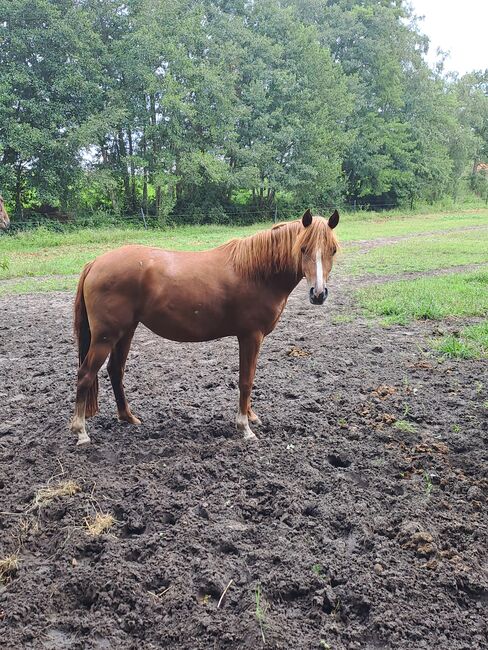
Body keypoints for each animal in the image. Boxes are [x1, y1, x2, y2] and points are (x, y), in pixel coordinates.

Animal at [71, 210, 340, 442]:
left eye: (333, 250)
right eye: (303, 248)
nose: (318, 294)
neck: (257, 272)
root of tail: (95, 263)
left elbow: (250, 377)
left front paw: (251, 416)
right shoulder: (250, 336)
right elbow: (246, 380)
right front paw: (244, 427)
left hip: (125, 332)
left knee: (115, 371)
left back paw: (128, 417)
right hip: (105, 337)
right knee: (85, 375)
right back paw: (81, 431)